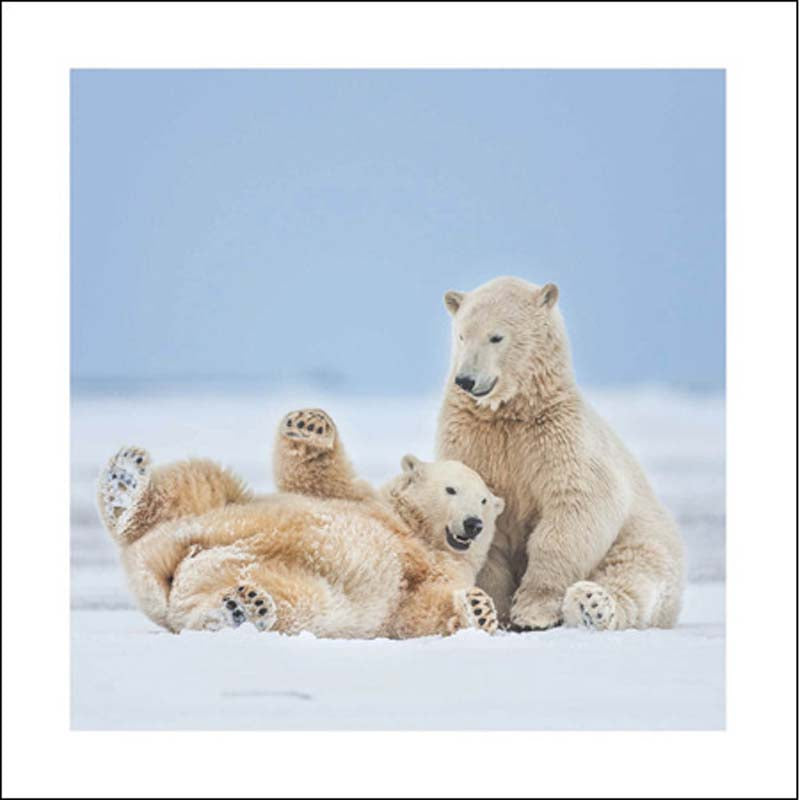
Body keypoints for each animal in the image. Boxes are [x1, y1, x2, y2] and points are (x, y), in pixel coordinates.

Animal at [96, 407, 505, 639]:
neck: (416, 532)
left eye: (485, 500)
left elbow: (420, 611)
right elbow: (318, 477)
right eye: (451, 489)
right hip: (207, 514)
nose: (473, 524)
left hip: (289, 584)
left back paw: (245, 606)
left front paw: (480, 609)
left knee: (285, 604)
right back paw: (125, 481)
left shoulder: (438, 573)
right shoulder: (364, 502)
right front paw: (309, 423)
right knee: (198, 480)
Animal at [436, 276, 686, 632]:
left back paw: (592, 604)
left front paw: (532, 611)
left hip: (646, 534)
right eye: (461, 334)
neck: (511, 413)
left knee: (638, 572)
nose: (466, 380)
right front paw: (493, 609)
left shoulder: (559, 436)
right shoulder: (472, 439)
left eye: (496, 336)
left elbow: (577, 503)